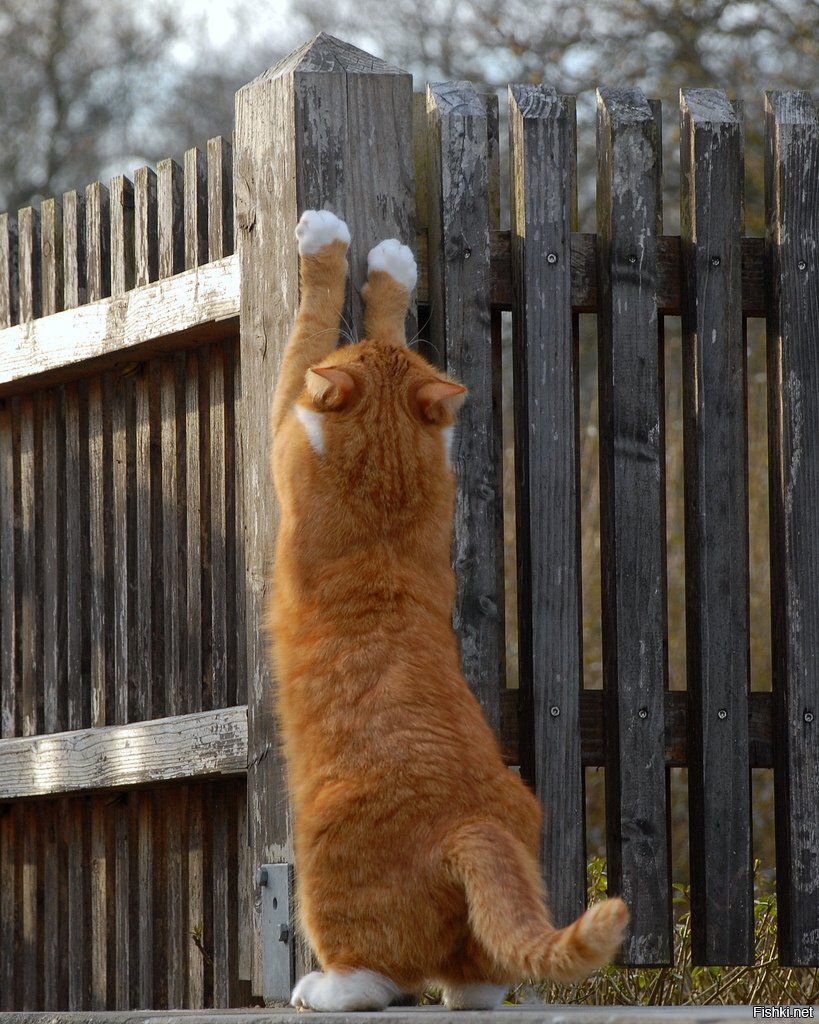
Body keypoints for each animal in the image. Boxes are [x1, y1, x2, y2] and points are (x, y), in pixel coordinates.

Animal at [268, 205, 626, 1007]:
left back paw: (325, 988)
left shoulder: (284, 419)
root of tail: (473, 823)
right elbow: (390, 323)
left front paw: (327, 245)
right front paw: (392, 273)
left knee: (373, 973)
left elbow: (309, 323)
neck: (388, 481)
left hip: (324, 857)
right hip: (485, 919)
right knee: (480, 975)